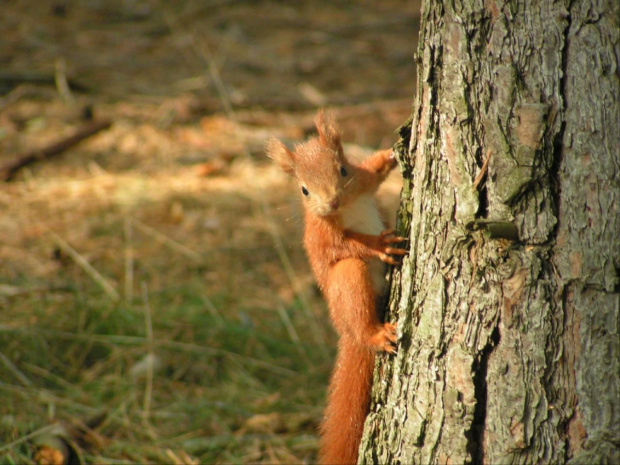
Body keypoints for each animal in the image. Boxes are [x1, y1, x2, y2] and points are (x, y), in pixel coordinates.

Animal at [268, 110, 406, 462]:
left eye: (343, 169)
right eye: (304, 190)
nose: (331, 202)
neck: (347, 207)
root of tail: (344, 330)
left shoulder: (364, 180)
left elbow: (374, 169)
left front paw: (391, 153)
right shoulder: (321, 235)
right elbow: (344, 247)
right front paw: (378, 244)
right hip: (346, 283)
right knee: (354, 289)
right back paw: (374, 334)